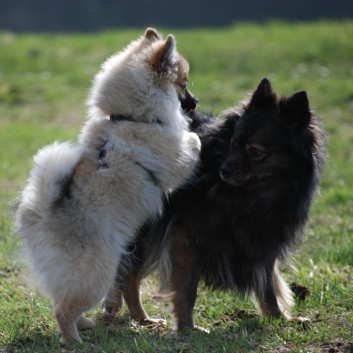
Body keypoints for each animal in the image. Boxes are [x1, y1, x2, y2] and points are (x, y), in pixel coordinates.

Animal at [15, 28, 199, 342]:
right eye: (182, 85)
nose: (195, 101)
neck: (129, 117)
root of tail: (40, 216)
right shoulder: (175, 159)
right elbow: (191, 144)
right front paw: (196, 135)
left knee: (62, 300)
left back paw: (84, 325)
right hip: (98, 274)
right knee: (62, 311)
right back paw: (75, 341)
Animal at [103, 78, 326, 328]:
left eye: (255, 151)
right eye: (233, 144)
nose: (224, 170)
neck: (253, 195)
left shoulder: (263, 242)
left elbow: (267, 288)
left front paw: (279, 319)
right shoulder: (186, 237)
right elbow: (187, 289)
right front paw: (187, 328)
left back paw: (141, 319)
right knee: (127, 272)